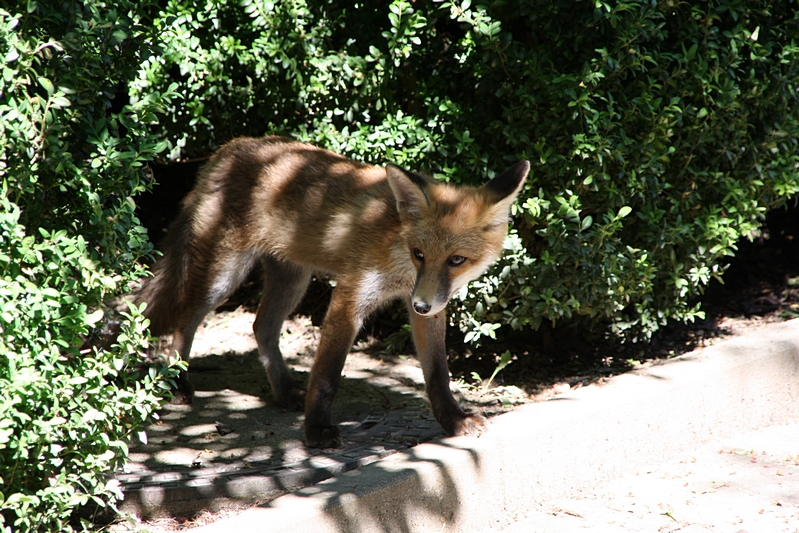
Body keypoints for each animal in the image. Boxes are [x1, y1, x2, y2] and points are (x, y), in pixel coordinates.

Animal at [139, 135, 532, 446]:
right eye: (419, 254)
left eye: (456, 260)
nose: (421, 305)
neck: (399, 260)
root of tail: (230, 147)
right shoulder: (350, 297)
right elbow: (327, 375)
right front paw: (316, 430)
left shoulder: (428, 306)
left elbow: (438, 375)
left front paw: (454, 420)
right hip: (223, 277)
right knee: (184, 323)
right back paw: (178, 383)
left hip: (291, 281)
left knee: (261, 327)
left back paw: (284, 392)